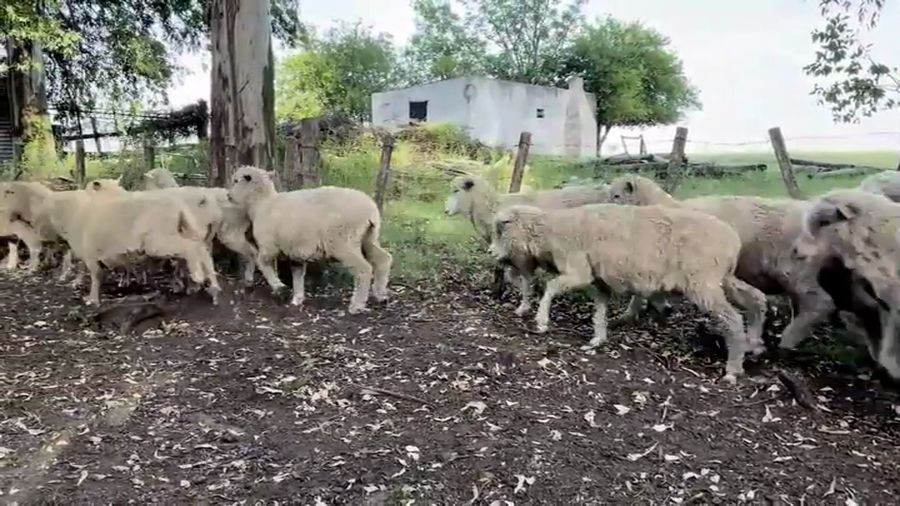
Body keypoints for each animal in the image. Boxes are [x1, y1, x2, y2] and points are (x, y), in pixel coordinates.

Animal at [227, 165, 392, 313]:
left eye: (236, 180)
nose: (228, 196)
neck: (262, 204)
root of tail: (371, 211)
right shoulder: (295, 251)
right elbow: (297, 274)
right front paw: (297, 298)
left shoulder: (269, 245)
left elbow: (262, 262)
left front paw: (279, 287)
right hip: (369, 237)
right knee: (383, 259)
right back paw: (381, 295)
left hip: (344, 241)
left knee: (364, 269)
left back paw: (356, 306)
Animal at [445, 173, 618, 317]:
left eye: (456, 190)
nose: (445, 211)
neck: (493, 208)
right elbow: (513, 277)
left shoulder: (521, 253)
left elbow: (525, 279)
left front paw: (526, 304)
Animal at [489, 203, 767, 382]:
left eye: (500, 230)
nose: (490, 252)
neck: (549, 232)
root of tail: (733, 240)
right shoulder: (597, 280)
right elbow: (600, 308)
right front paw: (597, 338)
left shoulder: (578, 270)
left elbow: (551, 287)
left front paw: (541, 321)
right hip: (721, 278)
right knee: (757, 299)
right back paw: (753, 344)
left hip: (703, 282)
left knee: (734, 318)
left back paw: (733, 368)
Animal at [607, 174, 837, 352]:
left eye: (617, 196)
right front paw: (658, 306)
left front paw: (629, 314)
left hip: (795, 270)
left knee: (821, 303)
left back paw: (787, 340)